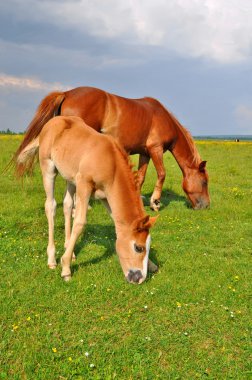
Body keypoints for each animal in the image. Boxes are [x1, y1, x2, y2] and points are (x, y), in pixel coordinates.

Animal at [13, 86, 211, 211]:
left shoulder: (145, 153)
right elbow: (162, 174)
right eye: (204, 182)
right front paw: (155, 202)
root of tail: (67, 93)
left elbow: (140, 178)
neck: (162, 118)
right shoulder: (155, 149)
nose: (206, 206)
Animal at [14, 117, 158, 284]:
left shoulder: (105, 196)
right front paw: (65, 269)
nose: (139, 278)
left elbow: (115, 221)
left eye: (147, 246)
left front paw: (152, 265)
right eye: (138, 247)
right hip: (48, 168)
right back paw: (52, 259)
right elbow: (80, 222)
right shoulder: (84, 184)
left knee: (67, 205)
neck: (110, 162)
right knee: (51, 206)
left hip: (70, 178)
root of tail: (51, 123)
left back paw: (69, 250)